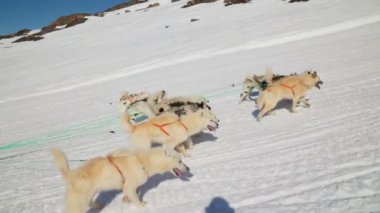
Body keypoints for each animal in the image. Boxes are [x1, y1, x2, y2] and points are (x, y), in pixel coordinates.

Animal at [51, 148, 190, 213]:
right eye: (180, 161)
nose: (188, 168)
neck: (142, 161)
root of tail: (71, 174)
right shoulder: (129, 186)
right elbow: (135, 197)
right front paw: (141, 205)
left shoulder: (129, 187)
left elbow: (133, 193)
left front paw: (126, 199)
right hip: (79, 199)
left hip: (89, 194)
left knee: (90, 202)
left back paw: (100, 205)